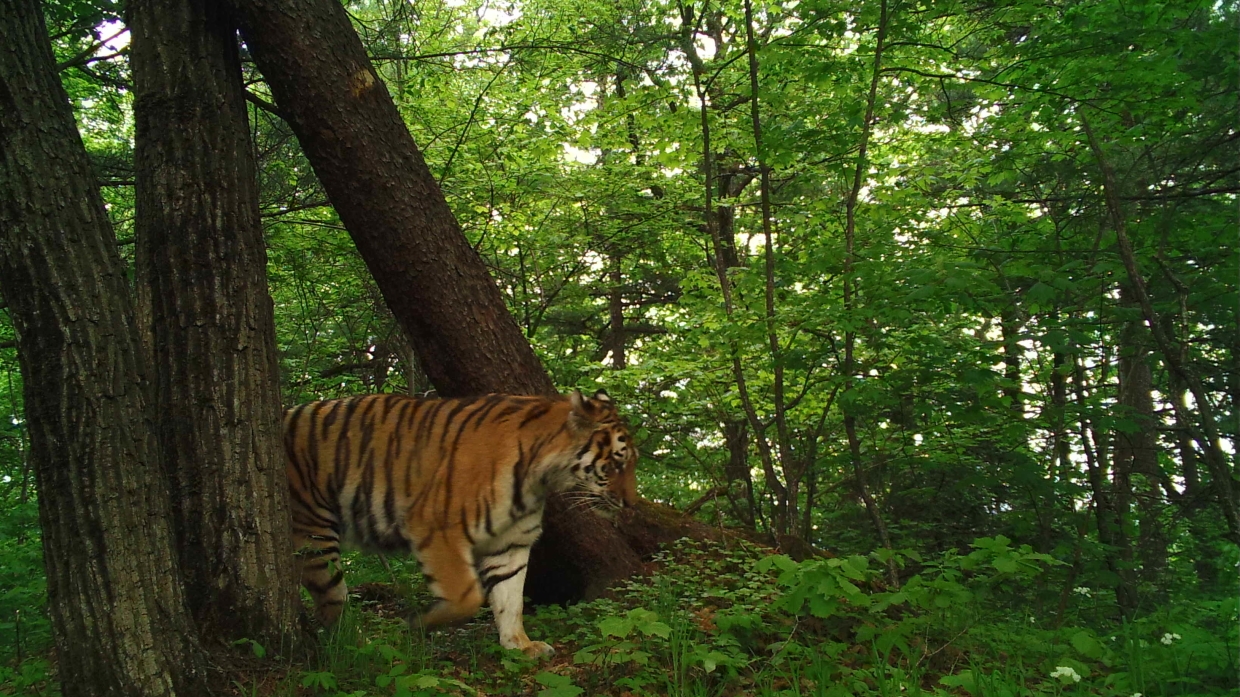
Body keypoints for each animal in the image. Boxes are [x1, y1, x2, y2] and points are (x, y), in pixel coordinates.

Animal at [282, 386, 639, 654]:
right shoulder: (437, 528)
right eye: (616, 464)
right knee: (332, 603)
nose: (632, 504)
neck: (539, 480)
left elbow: (511, 599)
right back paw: (365, 647)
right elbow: (468, 596)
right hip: (314, 536)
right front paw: (419, 622)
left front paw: (520, 645)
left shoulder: (510, 543)